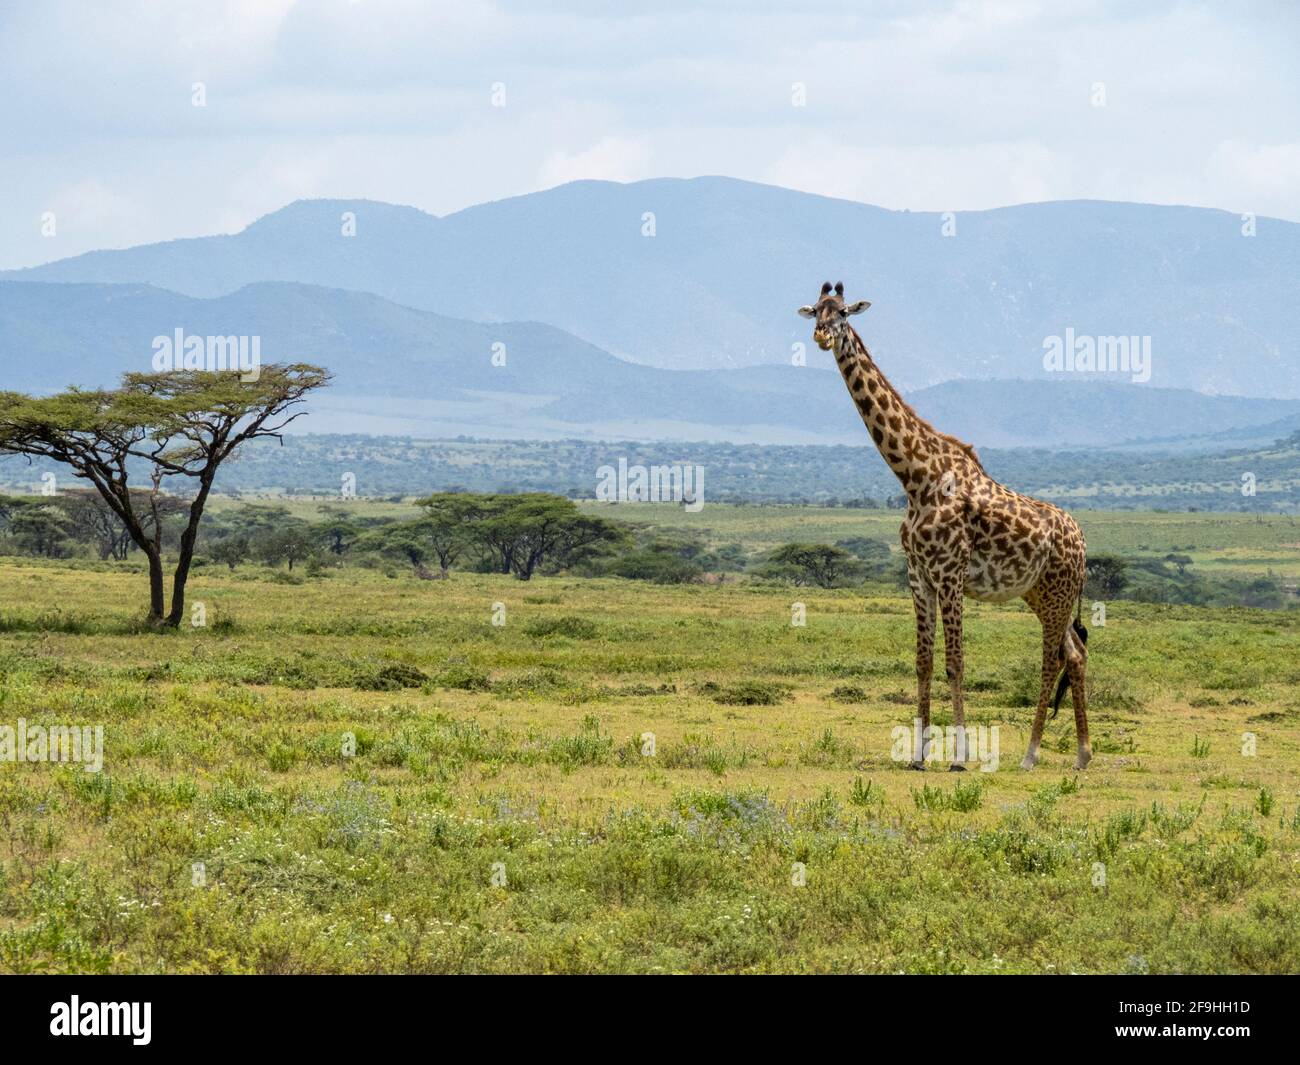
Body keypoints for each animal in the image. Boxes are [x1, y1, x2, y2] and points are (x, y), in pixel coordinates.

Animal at [795, 280, 1092, 775]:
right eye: (816, 310)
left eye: (844, 313)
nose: (820, 336)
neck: (916, 477)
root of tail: (1083, 540)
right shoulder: (918, 576)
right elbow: (923, 661)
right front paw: (917, 756)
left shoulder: (950, 575)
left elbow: (955, 662)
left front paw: (959, 757)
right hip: (1043, 594)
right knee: (1076, 653)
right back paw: (1083, 754)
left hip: (1057, 595)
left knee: (1052, 659)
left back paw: (1031, 754)